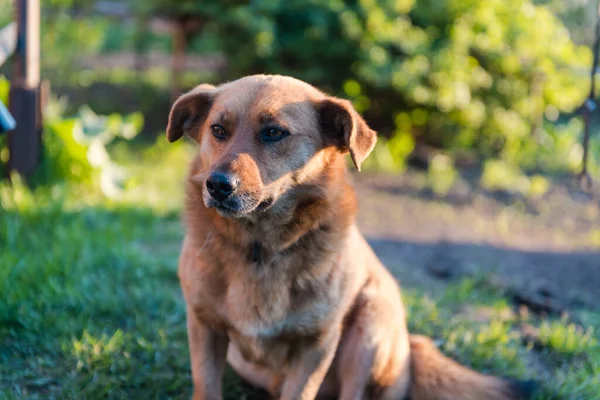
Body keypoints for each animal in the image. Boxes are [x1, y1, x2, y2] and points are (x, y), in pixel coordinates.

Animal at [165, 75, 536, 400]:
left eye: (274, 133)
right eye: (217, 130)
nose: (217, 186)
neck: (259, 246)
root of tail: (411, 345)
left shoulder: (317, 345)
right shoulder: (204, 328)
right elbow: (206, 387)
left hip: (370, 326)